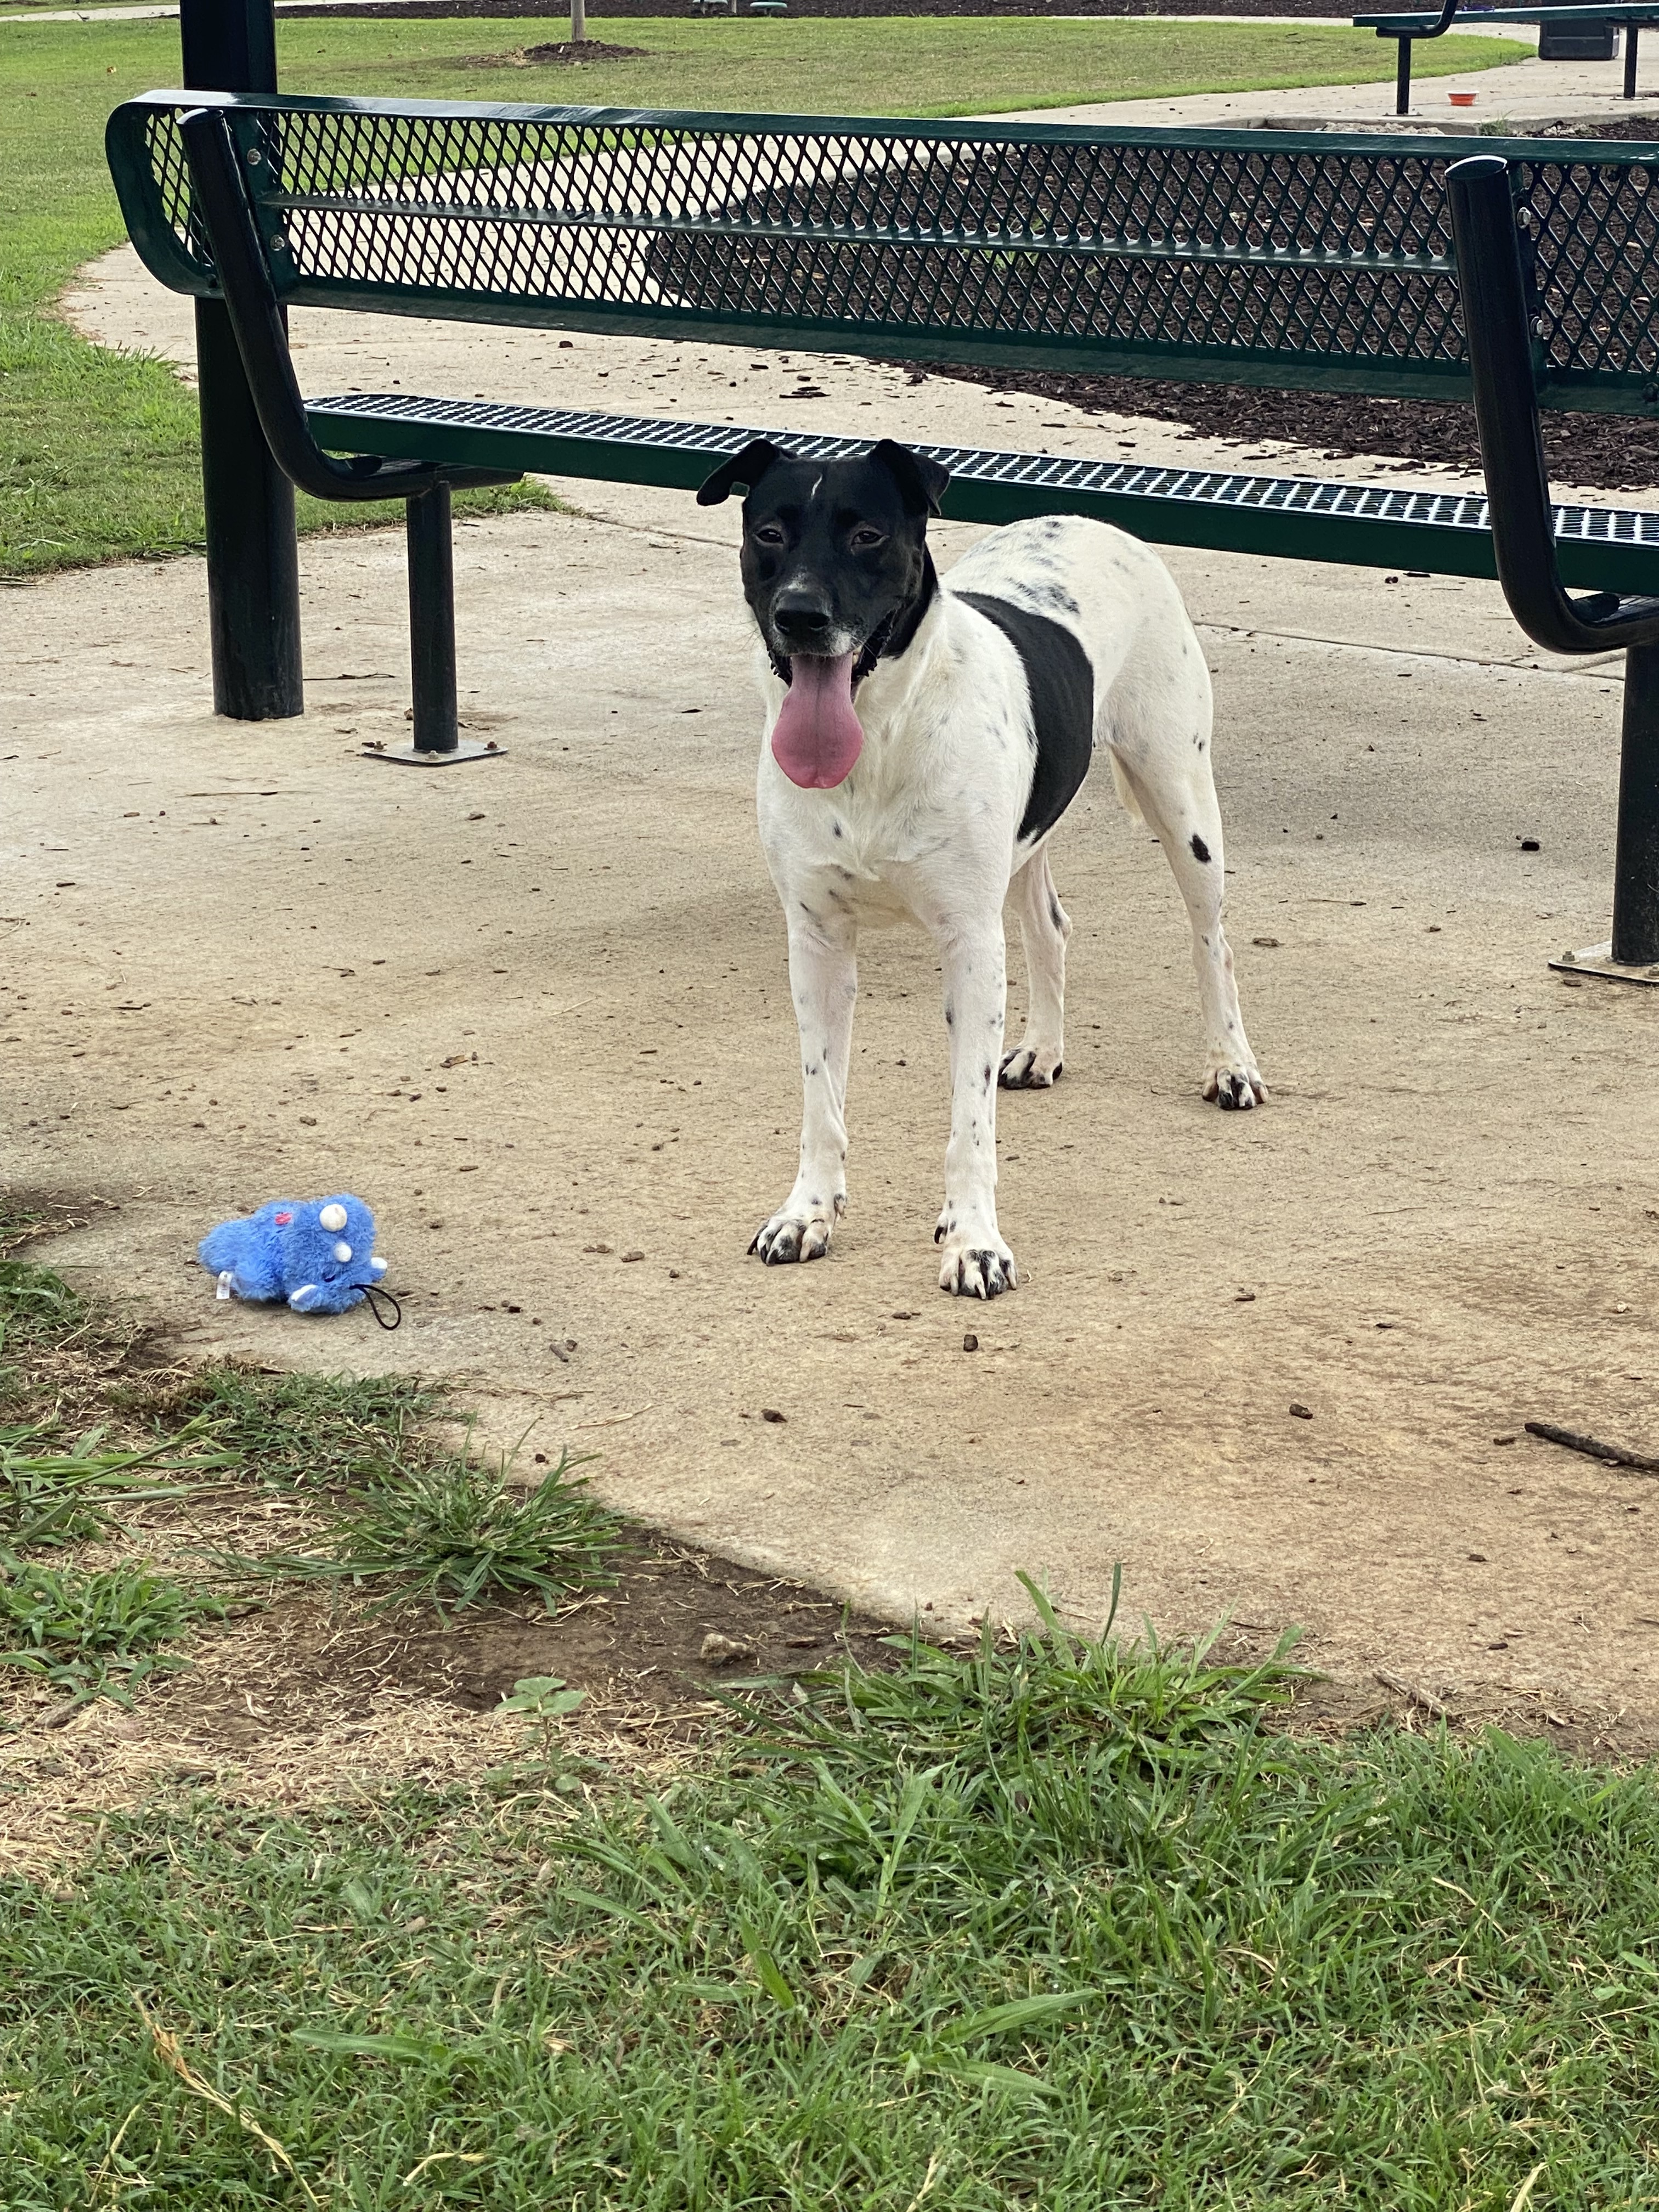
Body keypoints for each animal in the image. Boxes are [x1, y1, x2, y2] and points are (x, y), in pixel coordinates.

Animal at [695, 436, 1265, 1291]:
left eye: (867, 535)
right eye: (769, 533)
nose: (800, 615)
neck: (878, 736)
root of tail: (1086, 519)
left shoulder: (968, 942)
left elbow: (969, 1117)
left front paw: (974, 1241)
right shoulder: (817, 942)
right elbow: (821, 1099)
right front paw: (808, 1212)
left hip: (1183, 800)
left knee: (1212, 943)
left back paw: (1231, 1064)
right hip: (1031, 834)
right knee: (1050, 926)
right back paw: (1043, 1050)